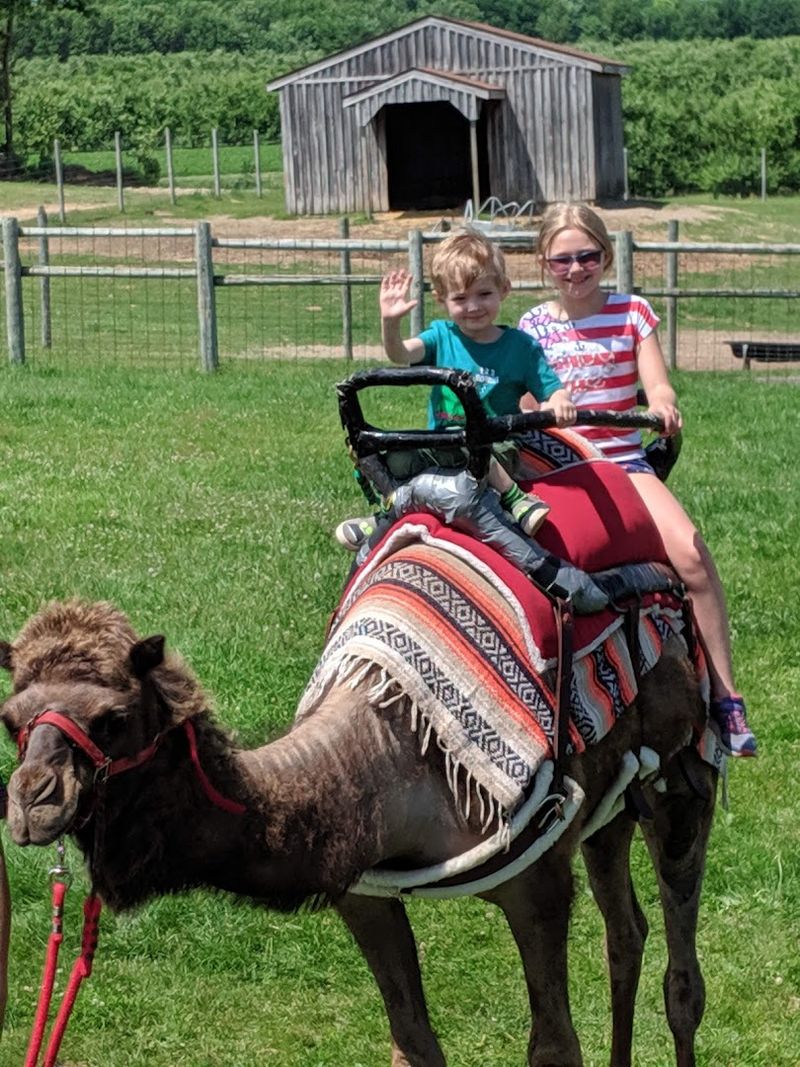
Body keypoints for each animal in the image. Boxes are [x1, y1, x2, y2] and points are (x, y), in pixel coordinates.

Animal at [1, 596, 716, 1067]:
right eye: (11, 721)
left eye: (113, 718)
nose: (33, 802)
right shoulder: (363, 893)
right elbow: (412, 1043)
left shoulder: (535, 883)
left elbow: (554, 1046)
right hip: (608, 810)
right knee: (625, 931)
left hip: (685, 778)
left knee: (681, 975)